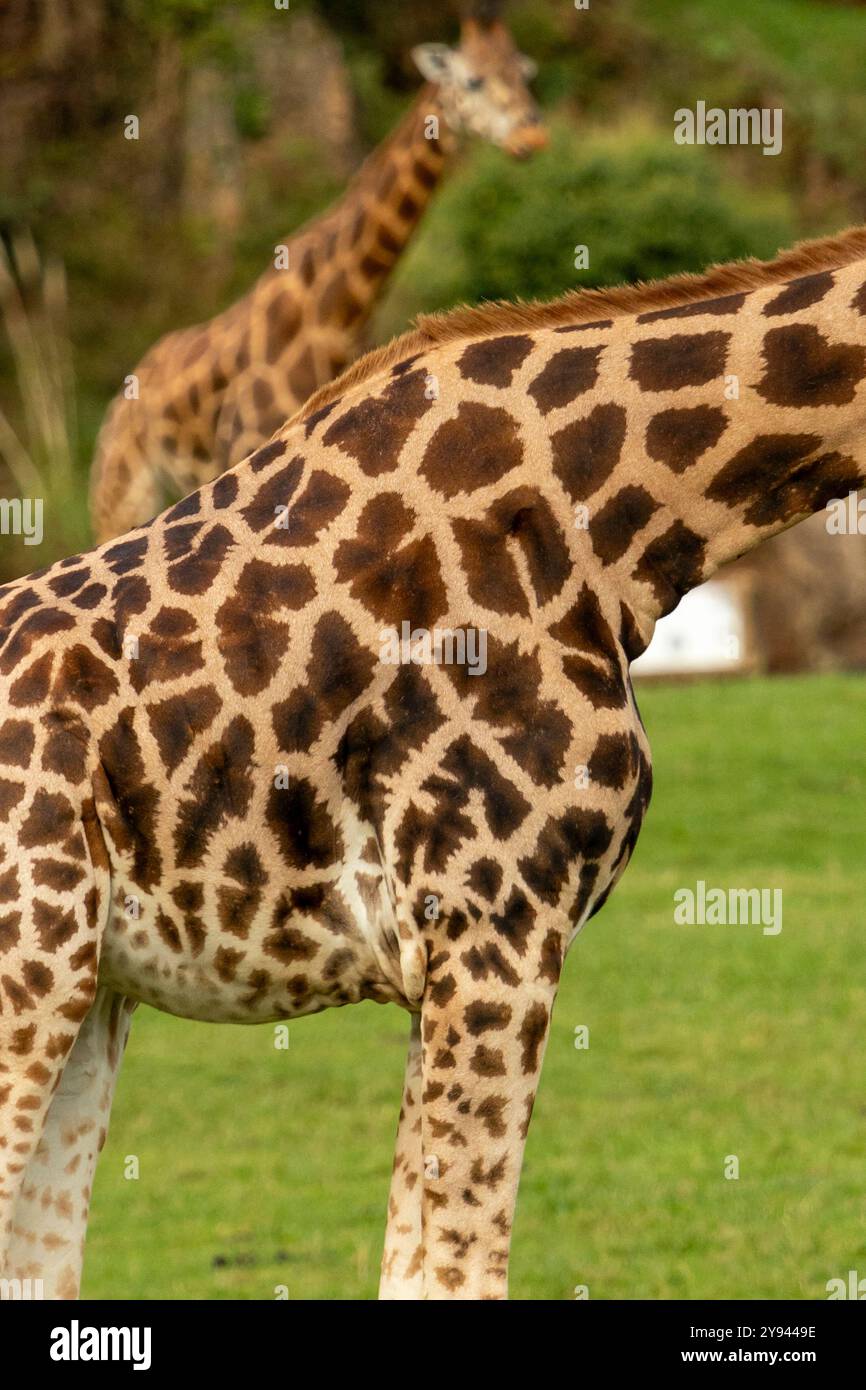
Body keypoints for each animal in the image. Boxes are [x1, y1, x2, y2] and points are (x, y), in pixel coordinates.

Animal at [2, 225, 866, 1301]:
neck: (611, 532)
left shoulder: (451, 952)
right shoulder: (496, 924)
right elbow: (461, 1270)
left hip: (85, 987)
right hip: (32, 971)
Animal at [88, 15, 546, 545]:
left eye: (524, 72)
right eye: (472, 80)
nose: (532, 137)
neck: (338, 314)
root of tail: (115, 410)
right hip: (122, 496)